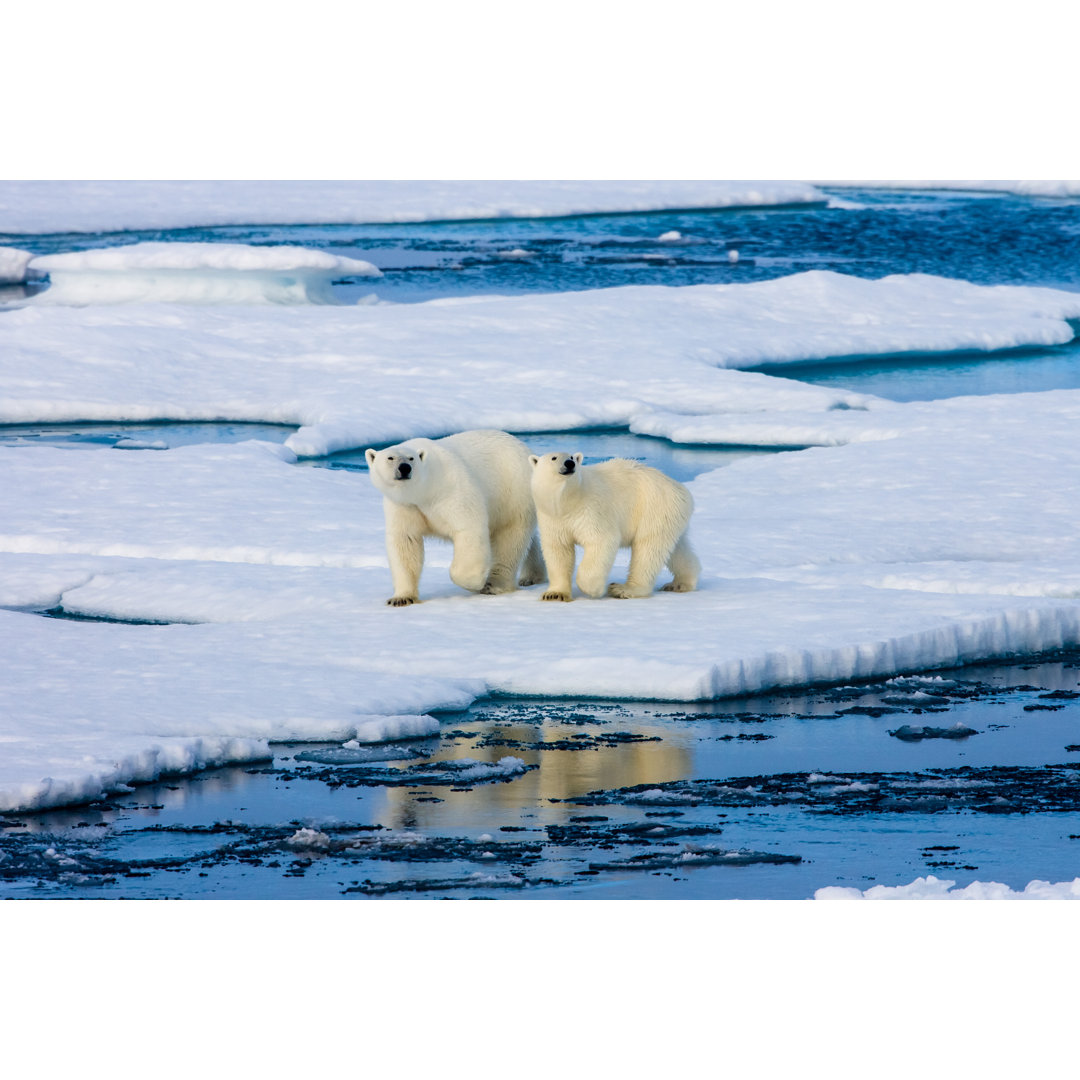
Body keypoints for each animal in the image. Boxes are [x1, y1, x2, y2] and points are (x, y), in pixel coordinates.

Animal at [367, 425, 548, 604]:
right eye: (390, 458)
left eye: (411, 458)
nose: (404, 468)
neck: (425, 490)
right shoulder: (404, 505)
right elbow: (405, 541)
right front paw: (401, 598)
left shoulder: (451, 489)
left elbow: (468, 528)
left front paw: (475, 583)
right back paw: (532, 576)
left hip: (513, 492)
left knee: (509, 539)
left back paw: (494, 585)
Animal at [529, 447, 699, 600]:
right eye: (554, 458)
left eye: (572, 457)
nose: (570, 463)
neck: (567, 502)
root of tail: (681, 489)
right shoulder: (553, 518)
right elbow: (558, 550)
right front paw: (554, 594)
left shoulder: (591, 509)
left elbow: (602, 540)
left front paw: (594, 590)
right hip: (671, 515)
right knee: (676, 548)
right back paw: (680, 583)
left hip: (654, 508)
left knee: (648, 549)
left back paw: (623, 589)